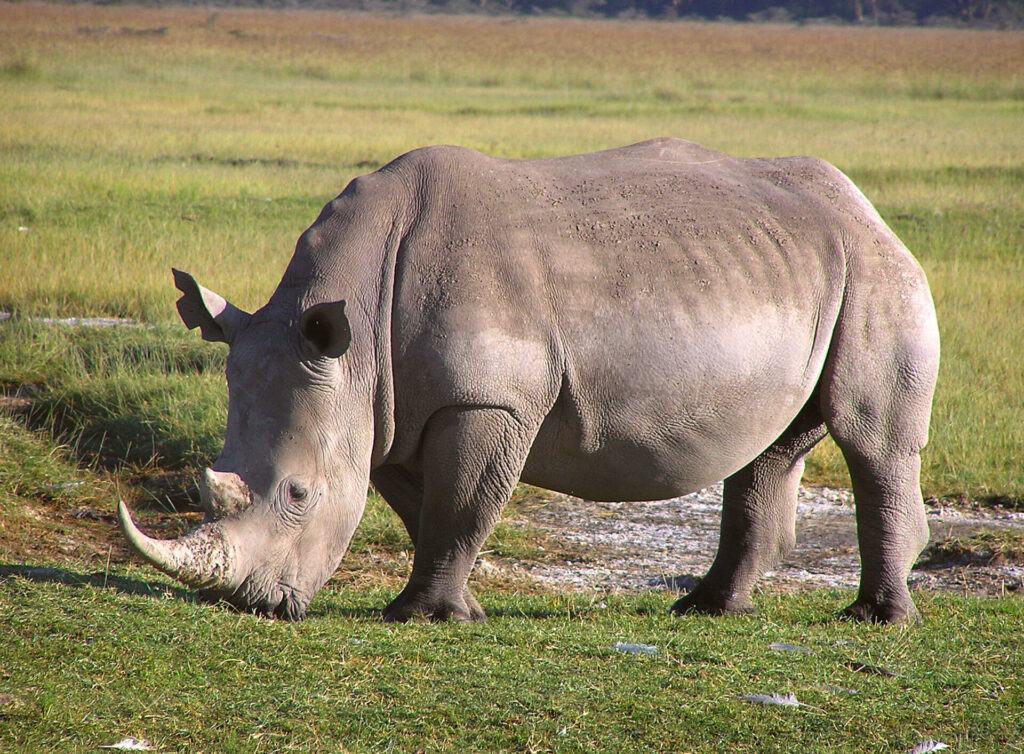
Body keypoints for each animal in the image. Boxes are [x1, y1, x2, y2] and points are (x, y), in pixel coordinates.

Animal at [119, 138, 940, 624]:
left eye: (297, 495)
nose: (253, 605)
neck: (354, 328)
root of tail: (864, 204)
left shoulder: (486, 398)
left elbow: (460, 506)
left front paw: (426, 618)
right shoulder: (386, 410)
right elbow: (426, 510)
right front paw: (432, 607)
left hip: (875, 269)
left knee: (871, 441)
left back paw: (877, 619)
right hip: (794, 267)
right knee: (770, 447)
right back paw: (706, 610)